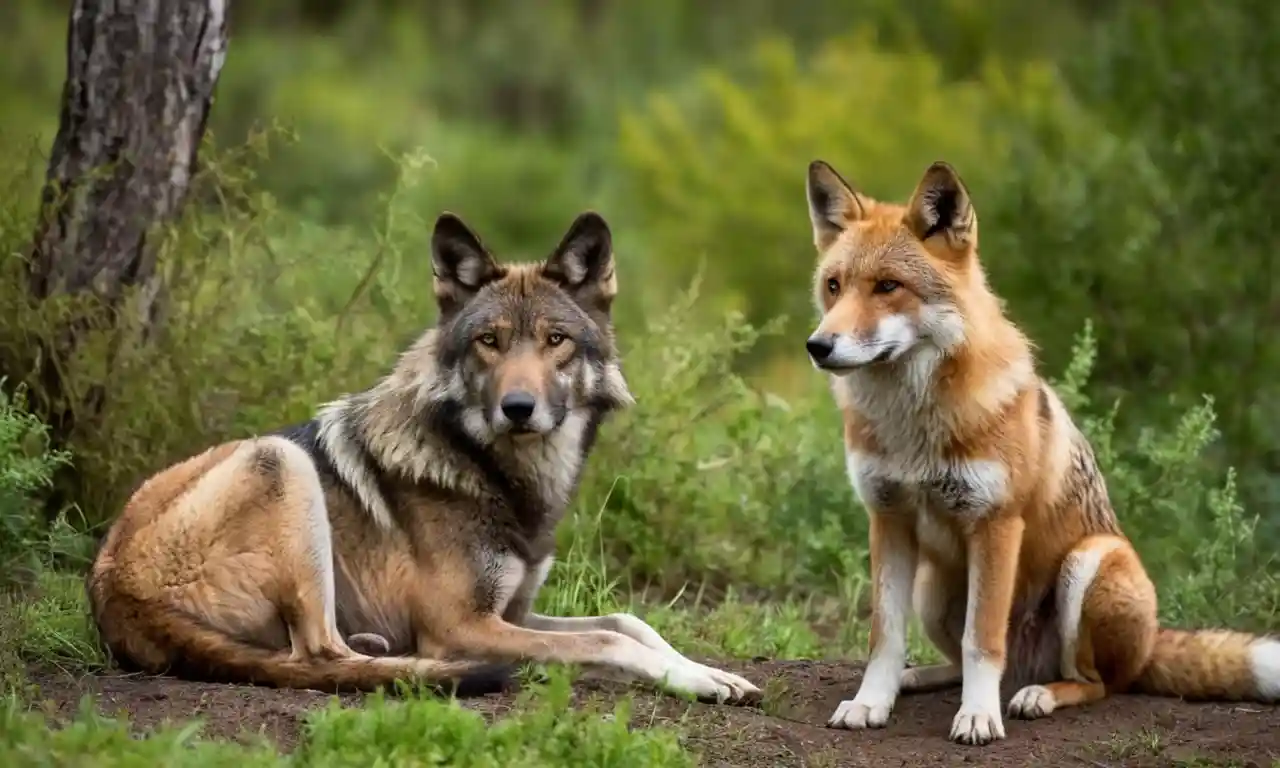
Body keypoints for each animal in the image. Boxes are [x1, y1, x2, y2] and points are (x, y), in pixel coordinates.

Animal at [87, 208, 757, 701]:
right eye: (489, 341)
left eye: (555, 340)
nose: (518, 408)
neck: (496, 473)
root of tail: (110, 585)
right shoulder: (463, 625)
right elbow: (608, 641)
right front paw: (693, 679)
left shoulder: (514, 612)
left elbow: (627, 621)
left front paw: (712, 673)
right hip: (280, 460)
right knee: (320, 654)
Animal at [803, 160, 1274, 742]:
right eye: (834, 286)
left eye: (888, 286)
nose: (819, 346)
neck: (914, 428)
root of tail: (1150, 644)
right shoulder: (888, 518)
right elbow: (884, 638)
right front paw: (872, 702)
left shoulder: (996, 523)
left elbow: (983, 642)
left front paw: (978, 717)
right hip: (933, 590)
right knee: (960, 663)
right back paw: (922, 679)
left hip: (1087, 564)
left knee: (1094, 683)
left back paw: (1037, 695)